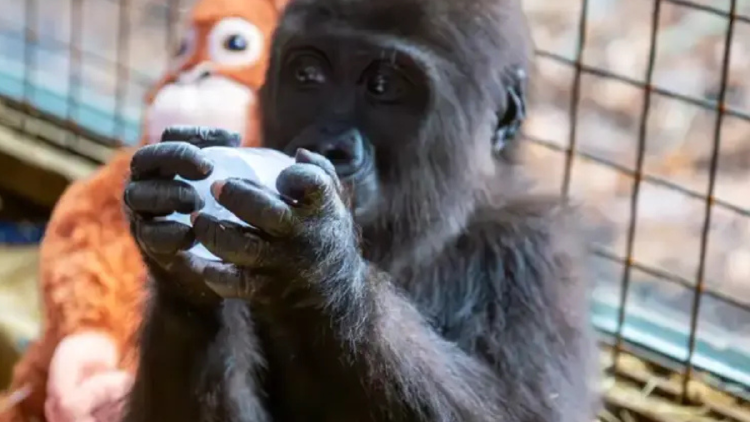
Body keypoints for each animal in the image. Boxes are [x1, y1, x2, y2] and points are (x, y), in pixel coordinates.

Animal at [122, 0, 600, 420]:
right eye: (308, 75)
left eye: (383, 87)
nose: (329, 144)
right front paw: (179, 280)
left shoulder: (538, 251)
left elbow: (527, 413)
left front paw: (318, 266)